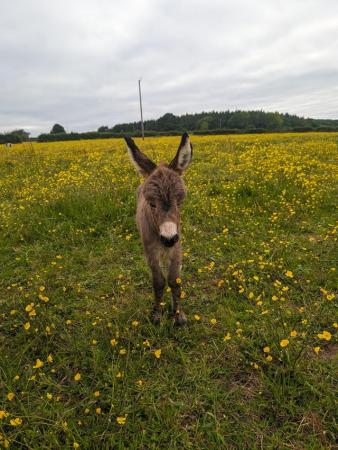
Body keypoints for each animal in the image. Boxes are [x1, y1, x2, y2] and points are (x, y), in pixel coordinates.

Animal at [125, 132, 193, 326]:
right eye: (152, 204)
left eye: (180, 202)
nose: (168, 238)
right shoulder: (150, 249)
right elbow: (158, 281)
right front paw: (157, 314)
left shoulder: (177, 246)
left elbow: (174, 280)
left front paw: (178, 314)